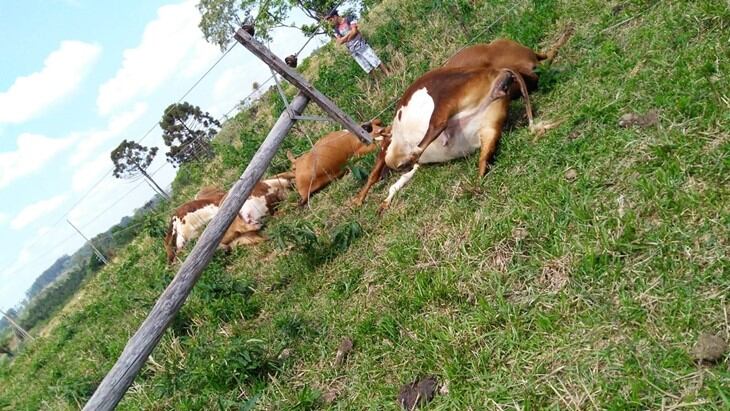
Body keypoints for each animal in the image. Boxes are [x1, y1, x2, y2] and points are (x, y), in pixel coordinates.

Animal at [348, 33, 568, 211]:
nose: (367, 127)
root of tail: (499, 74)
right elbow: (398, 181)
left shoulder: (387, 147)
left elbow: (376, 172)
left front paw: (358, 200)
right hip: (489, 127)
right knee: (483, 161)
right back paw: (471, 188)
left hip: (444, 95)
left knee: (438, 125)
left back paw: (413, 155)